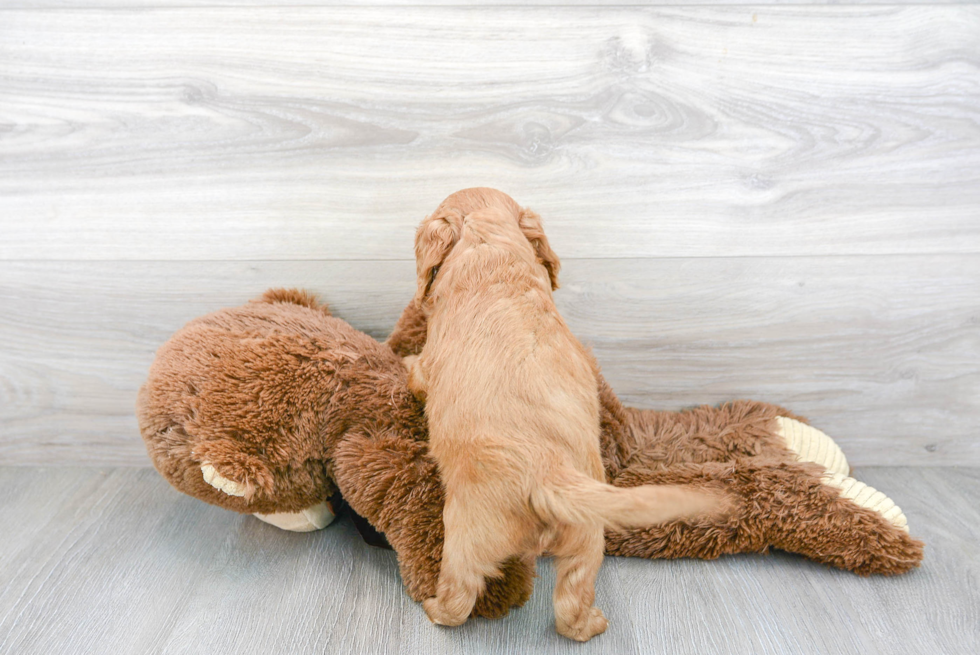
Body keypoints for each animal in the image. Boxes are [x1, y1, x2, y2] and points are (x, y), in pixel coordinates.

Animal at [406, 188, 720, 640]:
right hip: (587, 539)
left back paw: (433, 607)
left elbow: (415, 371)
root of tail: (547, 470)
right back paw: (593, 624)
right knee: (572, 601)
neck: (491, 249)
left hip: (467, 538)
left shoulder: (429, 363)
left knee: (458, 601)